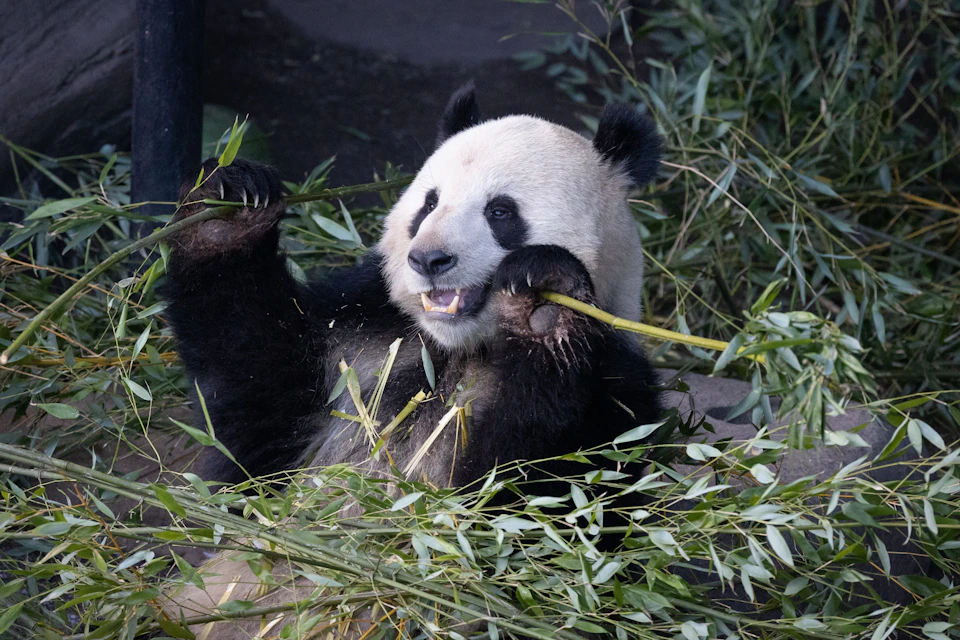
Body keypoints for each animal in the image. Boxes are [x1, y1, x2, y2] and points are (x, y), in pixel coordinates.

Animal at [160, 84, 663, 635]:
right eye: (429, 203)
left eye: (500, 212)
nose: (429, 259)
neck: (456, 348)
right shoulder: (361, 343)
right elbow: (252, 407)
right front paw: (227, 205)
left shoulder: (614, 393)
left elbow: (539, 511)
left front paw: (543, 306)